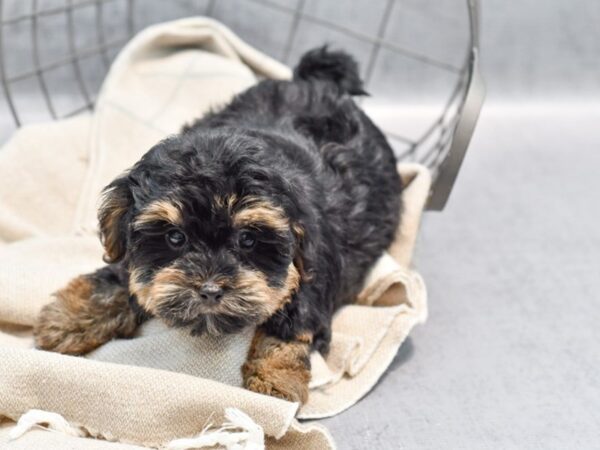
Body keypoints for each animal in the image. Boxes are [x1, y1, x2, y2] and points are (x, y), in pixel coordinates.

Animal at [32, 47, 400, 402]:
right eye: (175, 237)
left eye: (248, 240)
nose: (209, 290)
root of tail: (319, 84)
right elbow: (121, 277)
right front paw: (68, 319)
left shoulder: (311, 272)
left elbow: (292, 325)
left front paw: (274, 379)